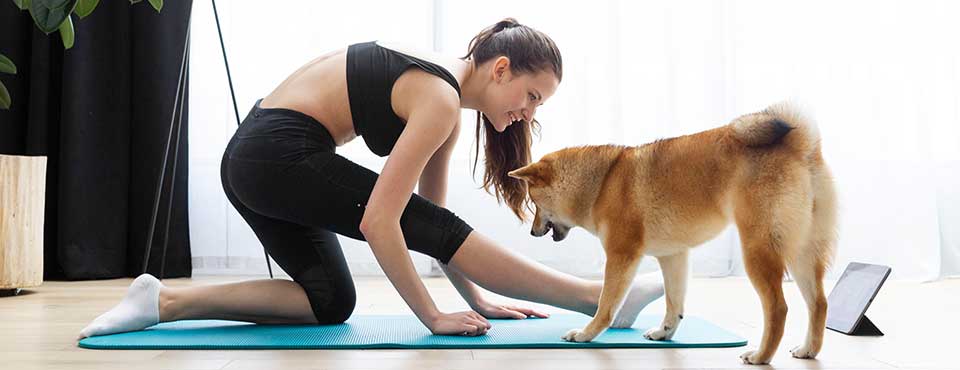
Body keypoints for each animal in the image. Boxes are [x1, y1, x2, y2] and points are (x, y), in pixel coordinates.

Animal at [506, 101, 836, 364]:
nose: (532, 232)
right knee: (819, 303)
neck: (602, 183)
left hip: (757, 249)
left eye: (534, 203)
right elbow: (674, 303)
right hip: (802, 253)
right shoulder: (673, 256)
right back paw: (809, 349)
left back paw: (761, 355)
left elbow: (606, 304)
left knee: (778, 308)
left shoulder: (621, 254)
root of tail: (800, 145)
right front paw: (665, 332)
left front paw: (586, 334)